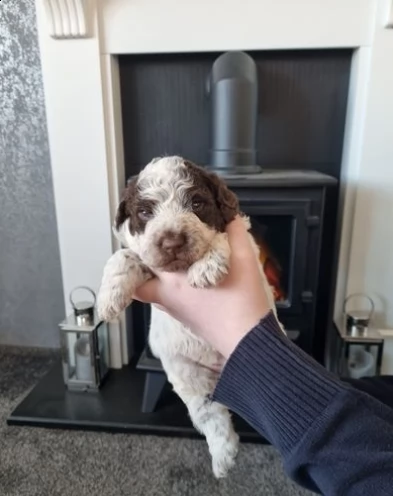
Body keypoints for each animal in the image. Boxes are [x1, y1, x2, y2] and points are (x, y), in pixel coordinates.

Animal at [97, 156, 284, 476]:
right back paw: (223, 456)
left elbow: (221, 237)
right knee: (210, 414)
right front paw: (109, 296)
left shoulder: (241, 233)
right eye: (144, 212)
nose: (172, 243)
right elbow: (125, 255)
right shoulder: (148, 260)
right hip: (187, 374)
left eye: (197, 204)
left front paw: (208, 265)